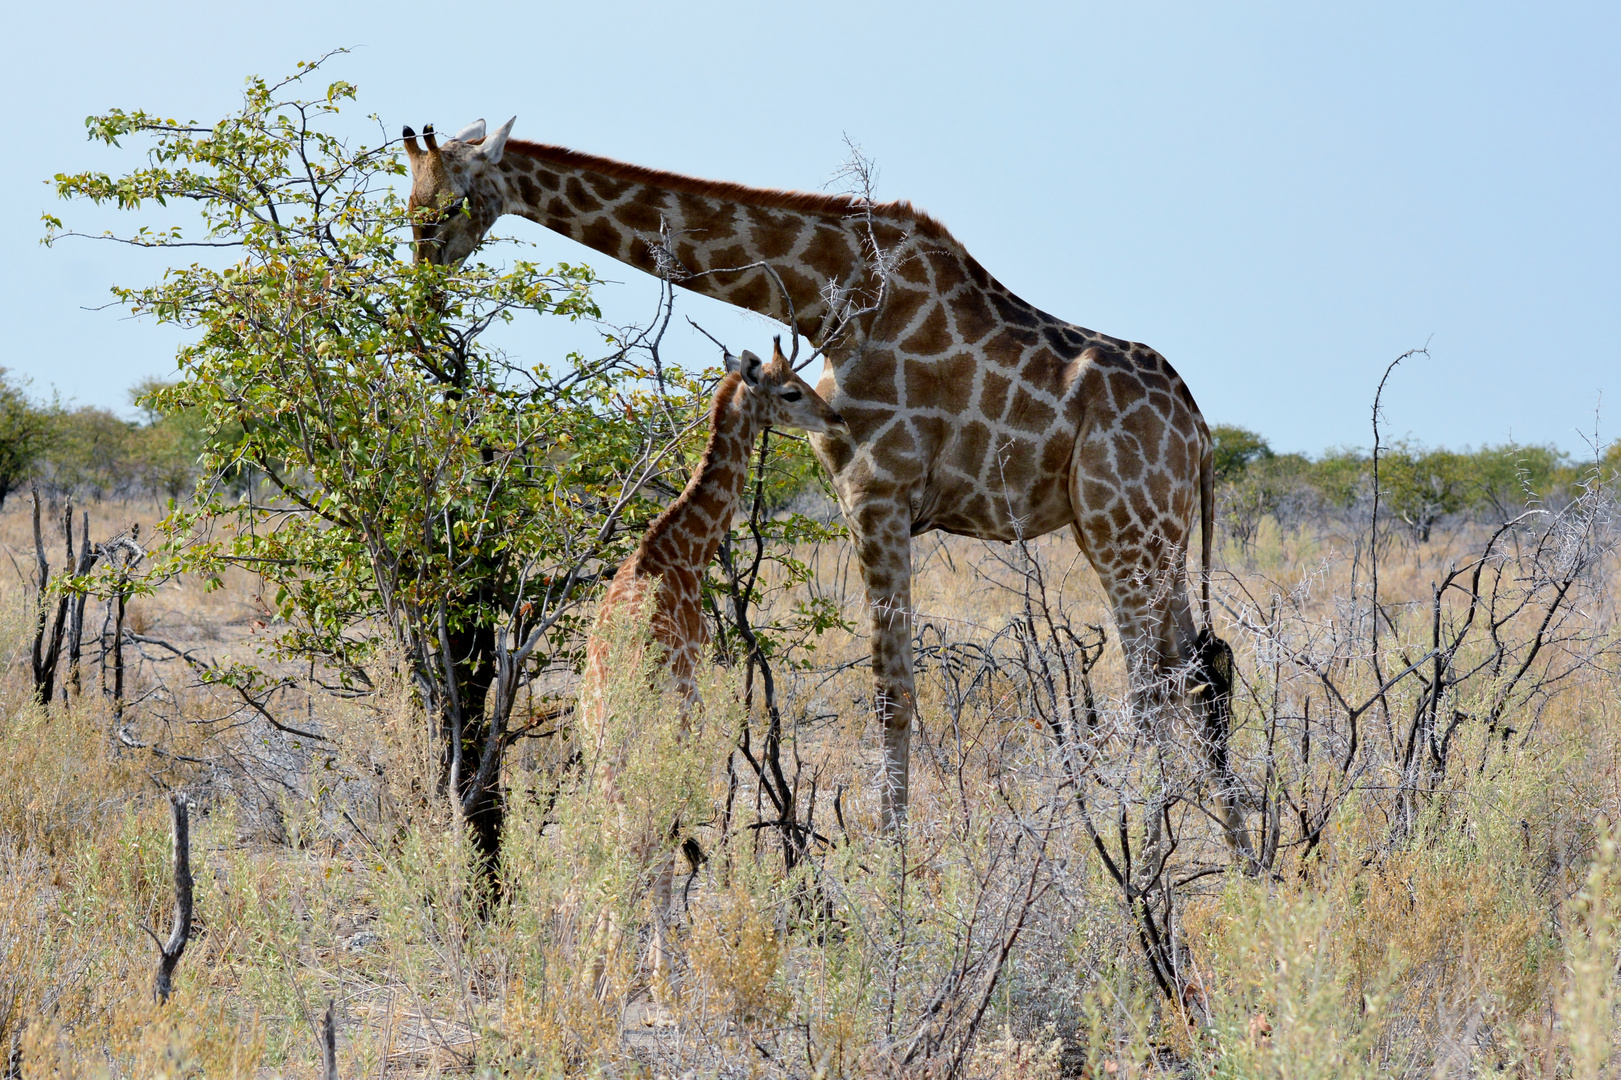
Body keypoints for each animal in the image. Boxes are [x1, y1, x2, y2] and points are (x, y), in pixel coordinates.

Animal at [405, 120, 1251, 849]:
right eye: (407, 200)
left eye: (447, 205)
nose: (423, 284)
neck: (827, 296)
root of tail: (1199, 431)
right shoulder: (868, 500)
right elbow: (891, 687)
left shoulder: (877, 491)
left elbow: (890, 691)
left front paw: (891, 870)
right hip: (1146, 530)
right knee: (1201, 670)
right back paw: (1236, 854)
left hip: (1121, 526)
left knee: (1150, 687)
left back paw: (1141, 853)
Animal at [580, 337, 849, 992]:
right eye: (791, 391)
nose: (836, 419)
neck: (675, 553)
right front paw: (654, 968)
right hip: (656, 738)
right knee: (642, 838)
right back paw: (641, 970)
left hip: (601, 751)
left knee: (613, 840)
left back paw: (596, 963)